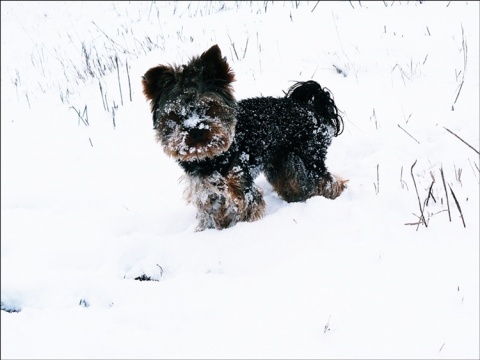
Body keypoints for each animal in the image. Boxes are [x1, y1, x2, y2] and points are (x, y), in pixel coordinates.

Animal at [141, 45, 346, 231]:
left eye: (209, 106)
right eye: (176, 114)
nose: (196, 131)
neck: (212, 157)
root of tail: (309, 107)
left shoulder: (239, 184)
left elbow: (248, 205)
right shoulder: (206, 189)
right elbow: (214, 214)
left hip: (309, 154)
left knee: (326, 180)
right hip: (281, 162)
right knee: (293, 183)